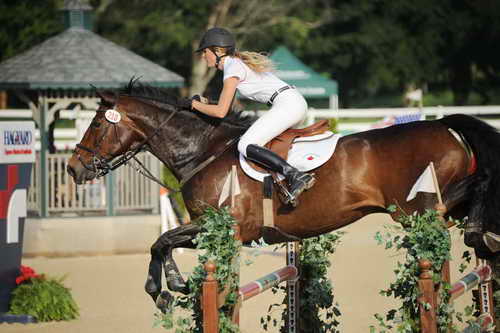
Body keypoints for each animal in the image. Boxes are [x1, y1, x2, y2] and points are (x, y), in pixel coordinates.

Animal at [66, 80, 500, 308]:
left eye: (95, 126)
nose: (74, 168)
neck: (203, 150)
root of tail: (444, 124)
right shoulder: (212, 229)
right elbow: (163, 242)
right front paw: (174, 285)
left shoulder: (222, 226)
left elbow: (161, 241)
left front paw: (163, 287)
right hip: (435, 209)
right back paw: (486, 236)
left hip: (419, 207)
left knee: (480, 183)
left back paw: (479, 233)